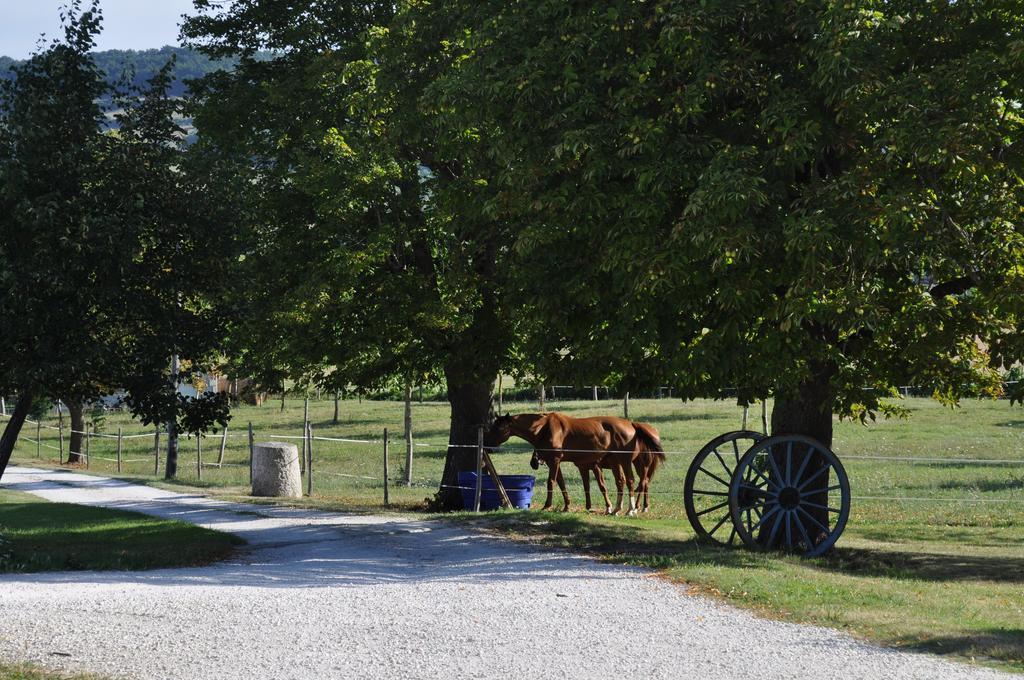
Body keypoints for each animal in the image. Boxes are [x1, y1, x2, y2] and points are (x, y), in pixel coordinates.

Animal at [487, 413, 663, 516]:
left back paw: (631, 510)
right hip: (615, 462)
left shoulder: (555, 461)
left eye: (499, 427)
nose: (488, 445)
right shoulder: (555, 462)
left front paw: (547, 506)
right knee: (622, 482)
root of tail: (632, 425)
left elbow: (551, 482)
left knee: (633, 482)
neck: (544, 428)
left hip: (625, 461)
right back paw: (617, 509)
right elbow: (561, 483)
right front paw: (566, 507)